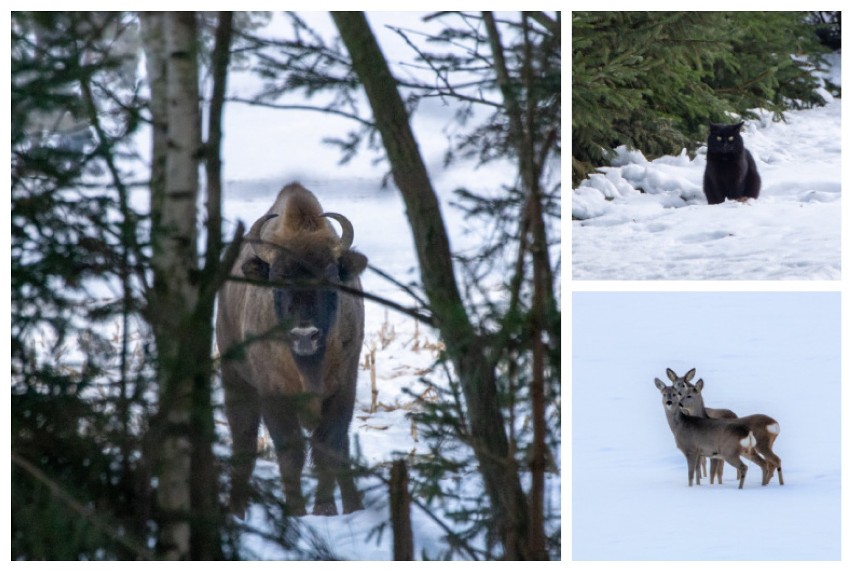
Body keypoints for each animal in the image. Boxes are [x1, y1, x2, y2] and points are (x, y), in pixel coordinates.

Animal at [216, 183, 366, 520]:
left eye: (331, 277)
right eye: (277, 278)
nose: (305, 334)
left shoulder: (344, 388)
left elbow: (330, 446)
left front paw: (326, 509)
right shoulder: (273, 394)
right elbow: (291, 451)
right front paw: (297, 511)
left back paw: (355, 504)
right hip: (235, 381)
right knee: (243, 441)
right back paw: (236, 509)